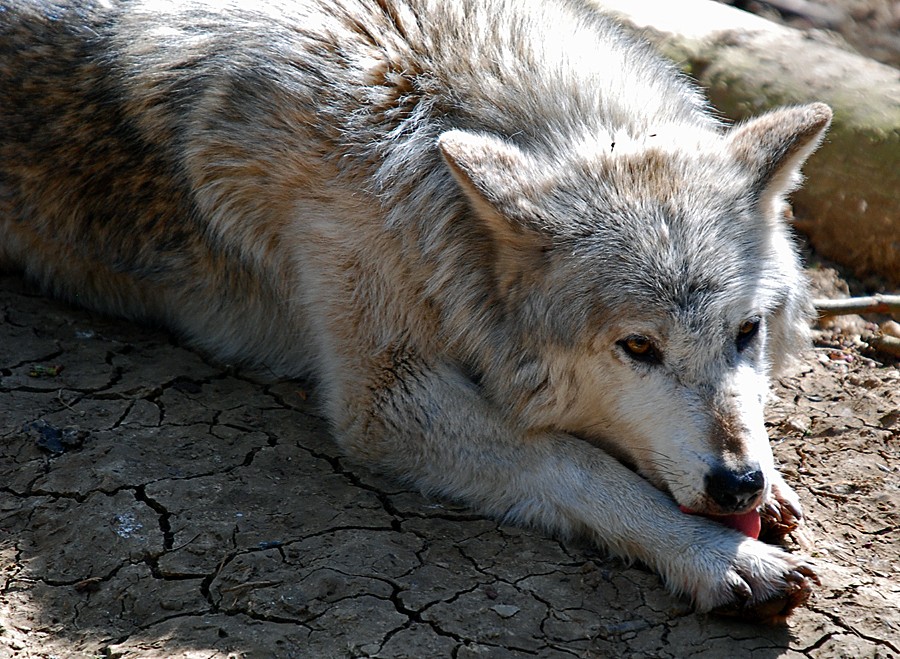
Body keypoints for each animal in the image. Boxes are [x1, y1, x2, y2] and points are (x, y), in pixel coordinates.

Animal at [0, 0, 831, 621]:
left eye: (747, 332)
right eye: (637, 348)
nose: (738, 485)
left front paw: (773, 490)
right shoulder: (385, 396)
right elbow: (577, 461)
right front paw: (721, 558)